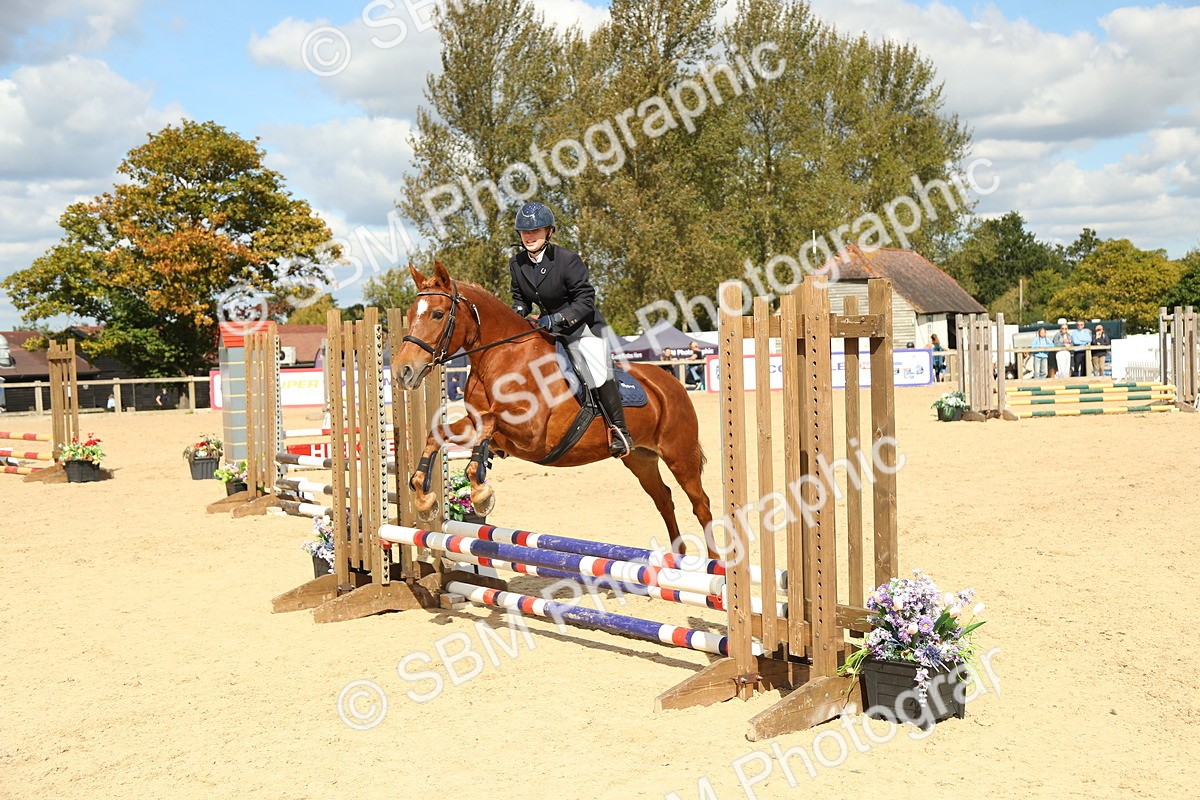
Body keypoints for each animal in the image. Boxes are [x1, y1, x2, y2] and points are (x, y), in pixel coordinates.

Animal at [393, 261, 717, 559]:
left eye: (437, 314)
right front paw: (424, 498)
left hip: (679, 455)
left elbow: (490, 421)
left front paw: (481, 493)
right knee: (664, 499)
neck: (502, 357)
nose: (402, 371)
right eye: (410, 313)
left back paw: (714, 566)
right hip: (641, 458)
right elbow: (440, 433)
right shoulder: (478, 423)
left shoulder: (533, 434)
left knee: (701, 503)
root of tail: (669, 381)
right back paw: (677, 558)